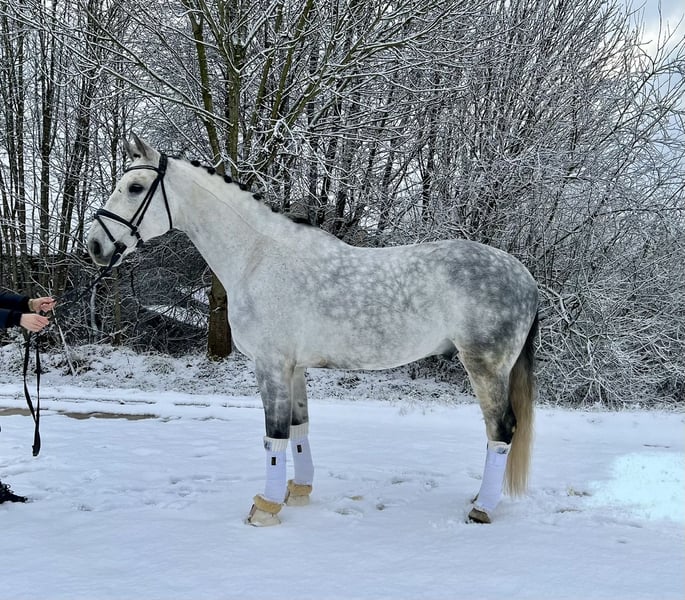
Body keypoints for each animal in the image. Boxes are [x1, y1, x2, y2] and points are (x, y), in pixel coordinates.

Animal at [87, 135, 539, 526]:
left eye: (135, 187)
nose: (95, 246)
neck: (258, 257)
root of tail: (525, 277)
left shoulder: (270, 365)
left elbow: (273, 435)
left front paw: (265, 508)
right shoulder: (295, 367)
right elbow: (299, 428)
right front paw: (298, 490)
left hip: (484, 367)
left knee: (501, 430)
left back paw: (481, 507)